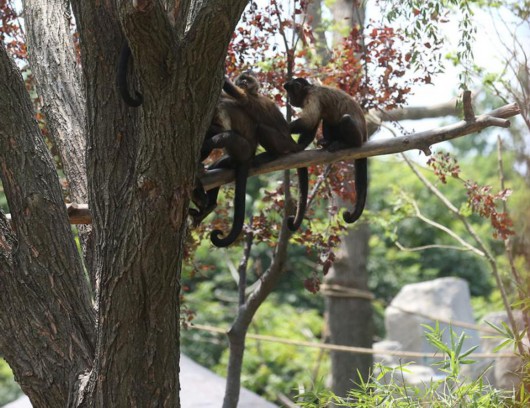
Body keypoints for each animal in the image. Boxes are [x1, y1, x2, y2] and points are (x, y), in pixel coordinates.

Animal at [221, 73, 312, 233]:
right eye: (241, 79)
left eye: (246, 79)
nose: (243, 82)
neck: (254, 93)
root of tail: (291, 142)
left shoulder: (248, 97)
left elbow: (236, 94)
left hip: (281, 142)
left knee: (261, 128)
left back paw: (273, 155)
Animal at [282, 76, 366, 223]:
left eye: (291, 93)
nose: (290, 101)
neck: (309, 88)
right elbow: (311, 126)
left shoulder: (312, 97)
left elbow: (309, 121)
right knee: (328, 120)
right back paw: (328, 143)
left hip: (358, 136)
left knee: (345, 119)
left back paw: (347, 144)